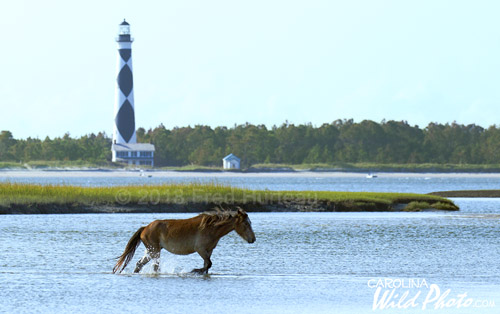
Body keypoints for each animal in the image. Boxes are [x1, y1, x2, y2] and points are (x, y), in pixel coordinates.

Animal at [112, 209, 256, 274]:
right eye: (246, 224)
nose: (253, 239)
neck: (212, 227)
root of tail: (144, 228)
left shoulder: (208, 250)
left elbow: (207, 266)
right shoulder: (200, 249)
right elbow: (208, 264)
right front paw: (193, 271)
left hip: (151, 251)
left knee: (139, 264)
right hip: (155, 251)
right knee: (154, 266)